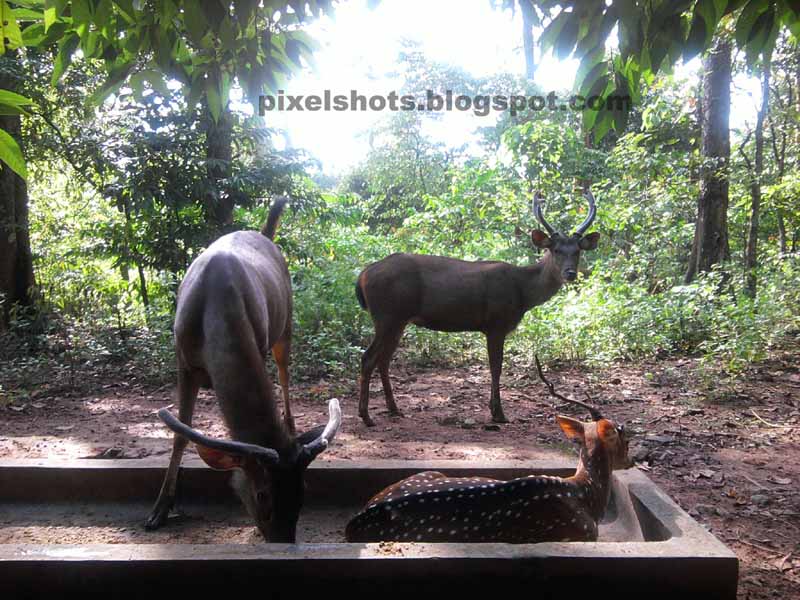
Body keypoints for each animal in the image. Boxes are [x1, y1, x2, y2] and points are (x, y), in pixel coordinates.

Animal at [144, 198, 340, 544]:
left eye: (303, 491)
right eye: (262, 494)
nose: (284, 541)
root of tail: (264, 234)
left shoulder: (259, 343)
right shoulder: (183, 359)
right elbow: (180, 434)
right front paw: (160, 509)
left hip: (285, 325)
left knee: (284, 372)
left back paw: (290, 422)